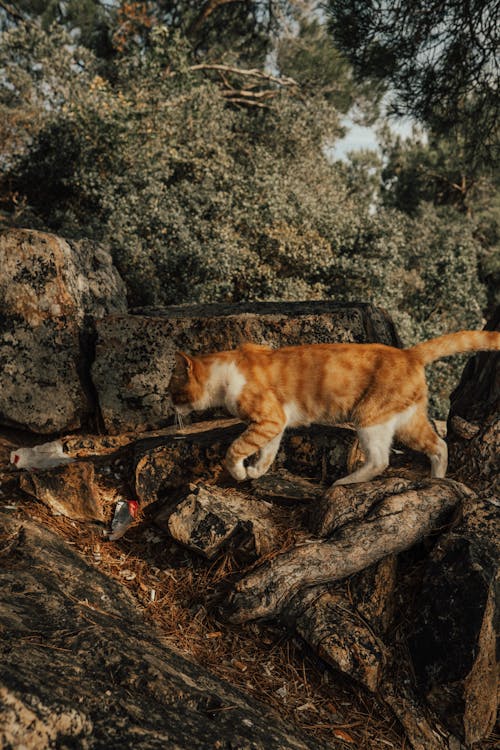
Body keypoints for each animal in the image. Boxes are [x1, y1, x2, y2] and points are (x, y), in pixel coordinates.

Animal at [169, 334, 500, 494]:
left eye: (172, 388)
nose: (170, 404)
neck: (226, 373)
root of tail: (409, 353)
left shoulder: (268, 419)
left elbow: (235, 449)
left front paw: (239, 472)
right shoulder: (273, 423)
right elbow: (266, 452)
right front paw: (256, 472)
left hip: (369, 417)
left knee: (380, 460)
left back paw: (344, 483)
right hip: (407, 421)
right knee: (439, 445)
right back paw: (437, 480)